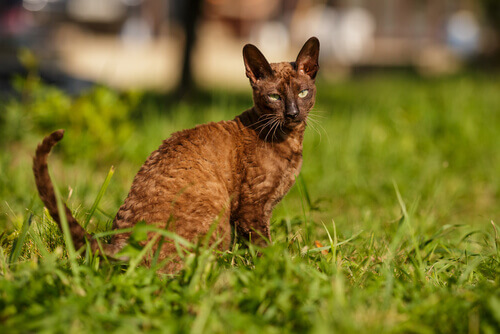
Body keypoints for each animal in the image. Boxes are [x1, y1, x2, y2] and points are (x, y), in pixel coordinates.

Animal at [32, 36, 320, 272]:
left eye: (303, 93)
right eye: (274, 97)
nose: (293, 113)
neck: (291, 143)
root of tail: (123, 242)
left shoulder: (260, 211)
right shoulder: (252, 210)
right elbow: (265, 251)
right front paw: (282, 270)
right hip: (218, 216)